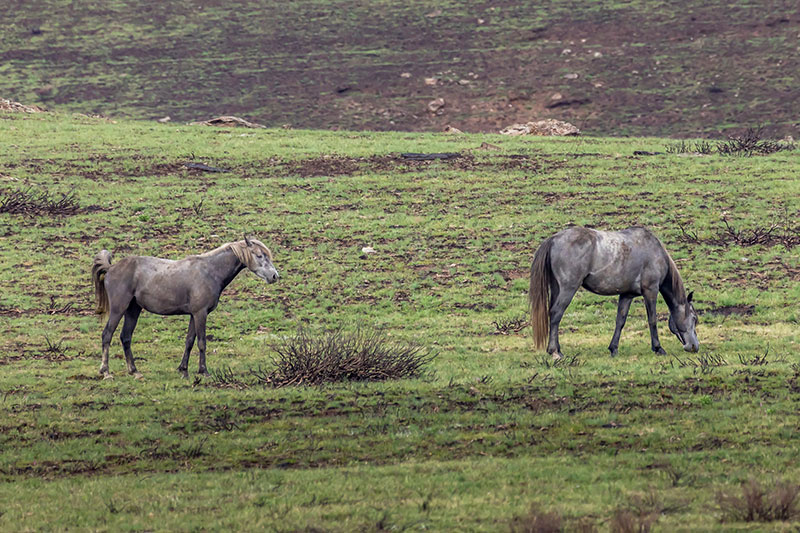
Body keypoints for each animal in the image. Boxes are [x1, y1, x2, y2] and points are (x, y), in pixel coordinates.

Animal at [92, 237, 279, 378]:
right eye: (259, 255)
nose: (274, 276)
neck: (209, 271)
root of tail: (111, 268)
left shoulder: (193, 315)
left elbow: (189, 341)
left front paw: (183, 370)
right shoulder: (200, 313)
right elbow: (202, 342)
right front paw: (204, 371)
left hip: (133, 310)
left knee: (125, 337)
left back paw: (134, 371)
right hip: (118, 309)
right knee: (107, 335)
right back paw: (106, 372)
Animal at [529, 226, 698, 359]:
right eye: (694, 318)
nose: (695, 347)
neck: (654, 251)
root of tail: (554, 239)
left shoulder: (627, 295)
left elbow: (620, 321)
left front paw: (613, 349)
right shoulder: (650, 291)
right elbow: (652, 320)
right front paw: (658, 348)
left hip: (557, 289)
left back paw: (557, 349)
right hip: (567, 289)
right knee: (556, 314)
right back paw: (554, 352)